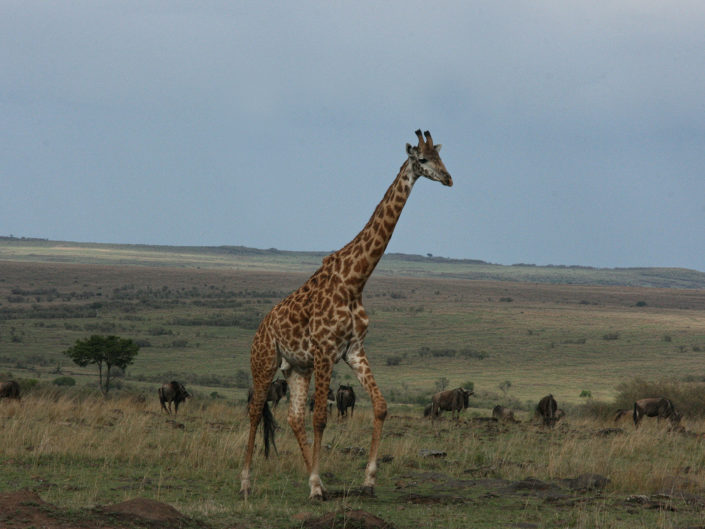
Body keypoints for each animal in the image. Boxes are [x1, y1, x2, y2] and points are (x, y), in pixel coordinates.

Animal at [240, 129, 453, 500]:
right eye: (423, 160)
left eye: (442, 157)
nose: (448, 178)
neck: (355, 281)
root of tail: (261, 328)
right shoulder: (326, 351)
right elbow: (321, 419)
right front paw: (316, 486)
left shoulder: (353, 350)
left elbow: (380, 406)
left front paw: (367, 480)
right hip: (265, 362)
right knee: (256, 413)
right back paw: (247, 483)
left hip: (297, 368)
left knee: (294, 417)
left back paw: (313, 477)